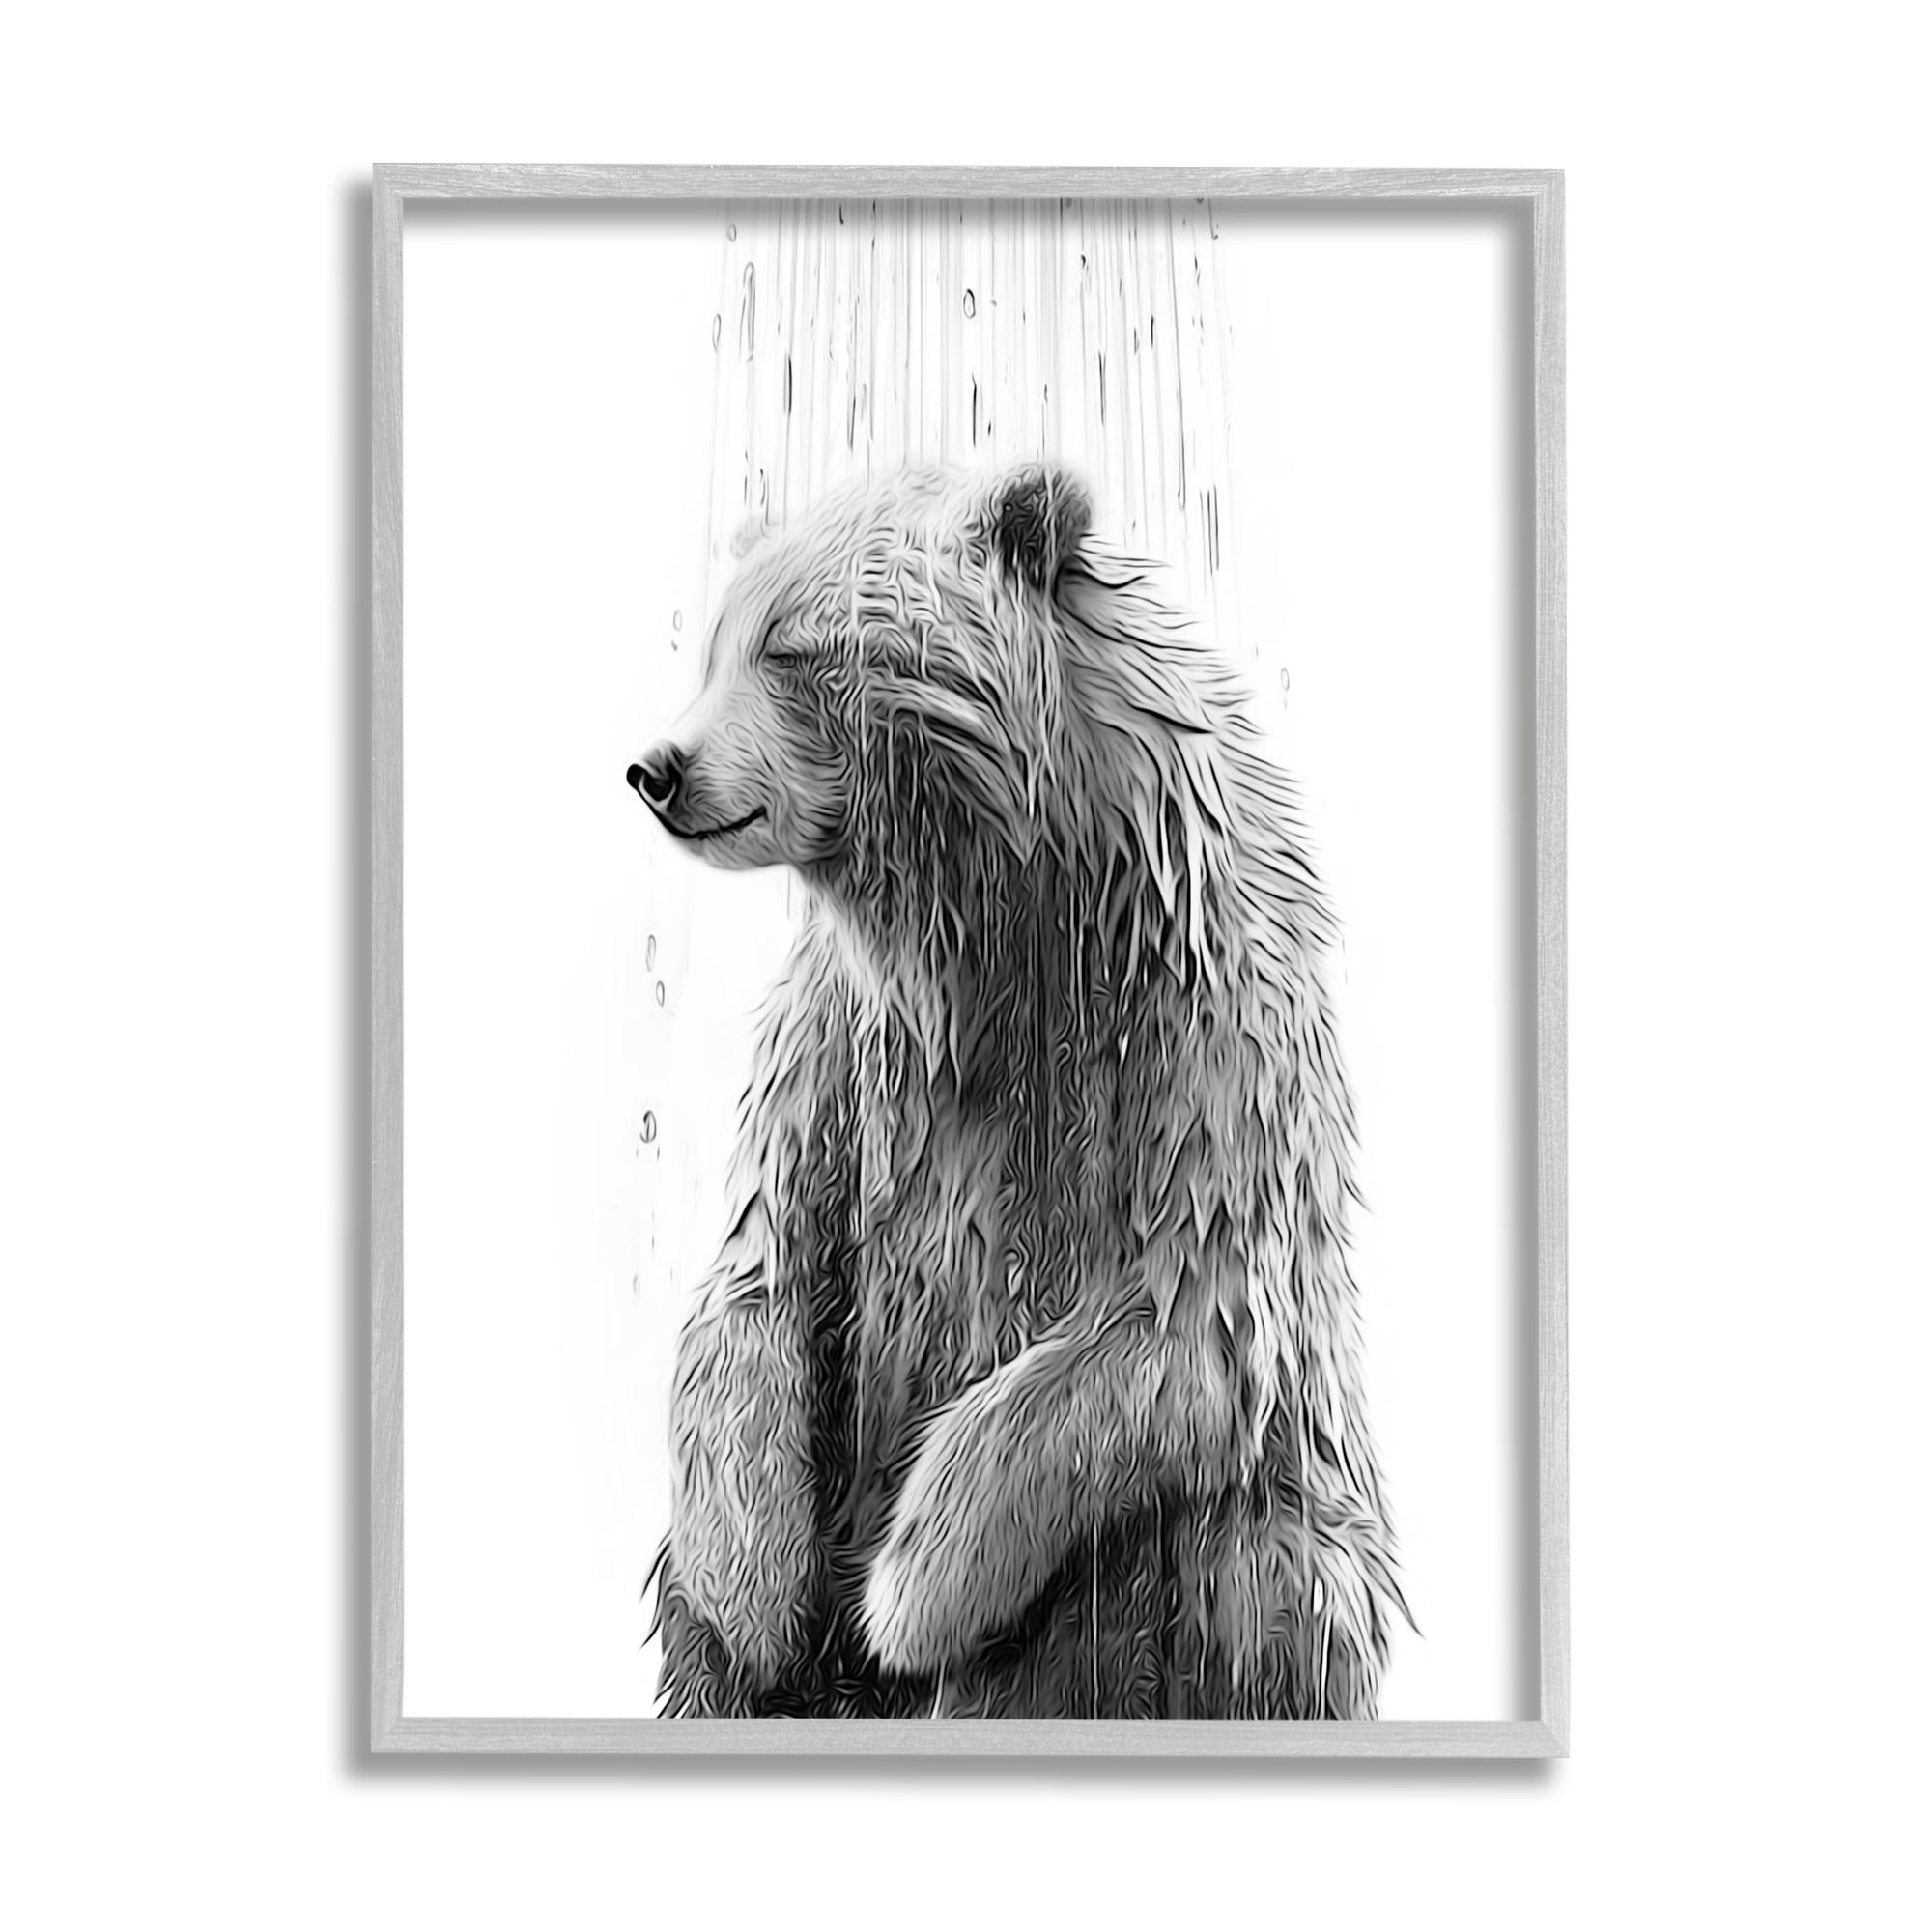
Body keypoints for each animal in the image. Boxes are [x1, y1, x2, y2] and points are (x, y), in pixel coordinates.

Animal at [629, 461, 1406, 1719]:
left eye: (792, 648)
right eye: (715, 644)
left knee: (1251, 1576)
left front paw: (905, 1590)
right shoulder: (846, 1040)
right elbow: (759, 1272)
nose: (658, 766)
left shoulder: (1188, 1015)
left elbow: (1173, 1318)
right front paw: (759, 1594)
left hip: (1270, 1535)